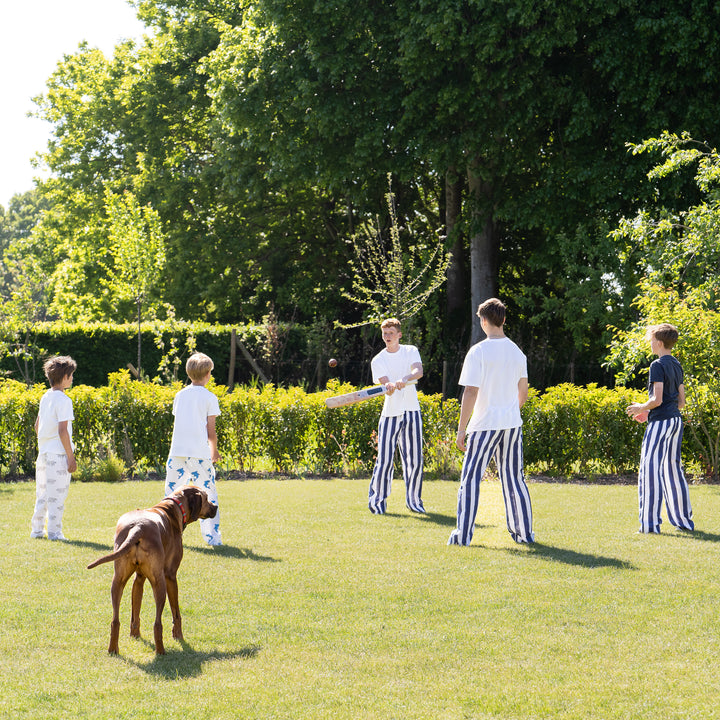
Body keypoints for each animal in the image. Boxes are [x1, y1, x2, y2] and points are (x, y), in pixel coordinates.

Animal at [88, 486, 217, 656]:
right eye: (206, 497)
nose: (216, 507)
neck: (172, 508)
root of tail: (138, 527)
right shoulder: (171, 576)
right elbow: (176, 612)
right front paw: (178, 636)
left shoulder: (139, 577)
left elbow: (135, 611)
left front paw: (135, 635)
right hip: (159, 582)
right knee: (157, 623)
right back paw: (161, 651)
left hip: (117, 581)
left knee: (115, 620)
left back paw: (113, 649)